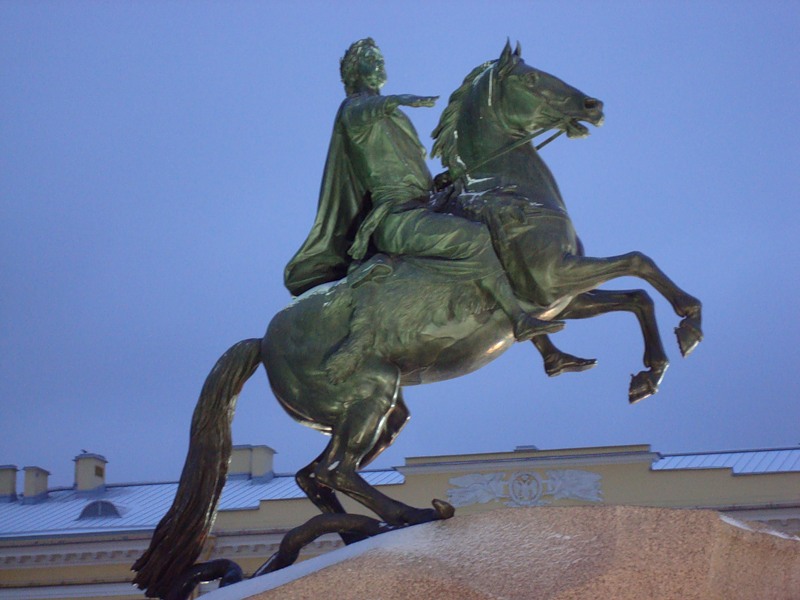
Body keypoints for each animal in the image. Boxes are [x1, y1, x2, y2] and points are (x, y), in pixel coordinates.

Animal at [131, 41, 700, 596]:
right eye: (532, 78)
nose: (592, 105)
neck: (505, 189)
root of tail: (262, 341)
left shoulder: (560, 297)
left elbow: (636, 295)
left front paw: (648, 372)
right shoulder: (555, 280)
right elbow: (640, 263)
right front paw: (688, 325)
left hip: (379, 411)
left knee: (314, 475)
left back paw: (351, 534)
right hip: (371, 395)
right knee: (337, 472)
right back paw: (414, 514)